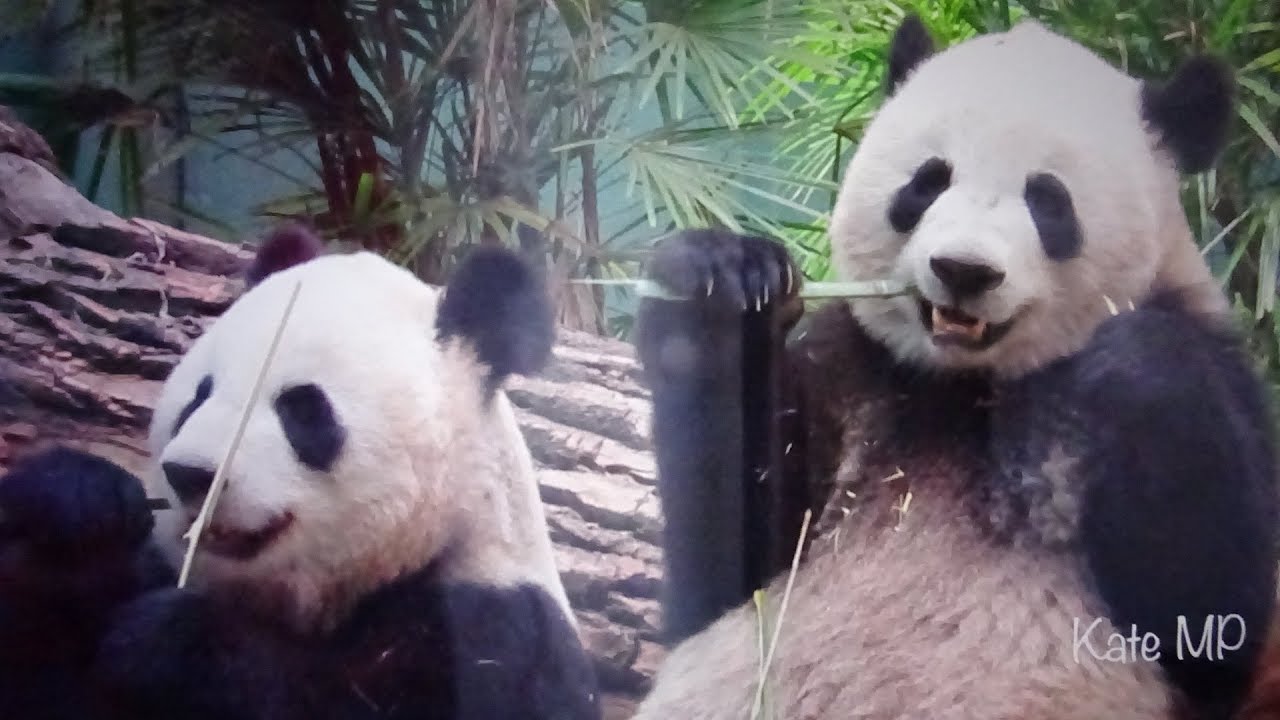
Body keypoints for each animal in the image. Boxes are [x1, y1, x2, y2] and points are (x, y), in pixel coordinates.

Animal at [0, 226, 601, 720]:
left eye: (303, 410)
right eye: (198, 396)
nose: (189, 474)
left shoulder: (496, 633)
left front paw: (169, 644)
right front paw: (77, 502)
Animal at [632, 15, 1279, 720]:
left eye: (1048, 200)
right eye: (928, 181)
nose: (964, 270)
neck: (968, 385)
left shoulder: (1221, 373)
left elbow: (1212, 624)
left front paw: (1133, 356)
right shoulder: (851, 370)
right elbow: (724, 574)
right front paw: (722, 284)